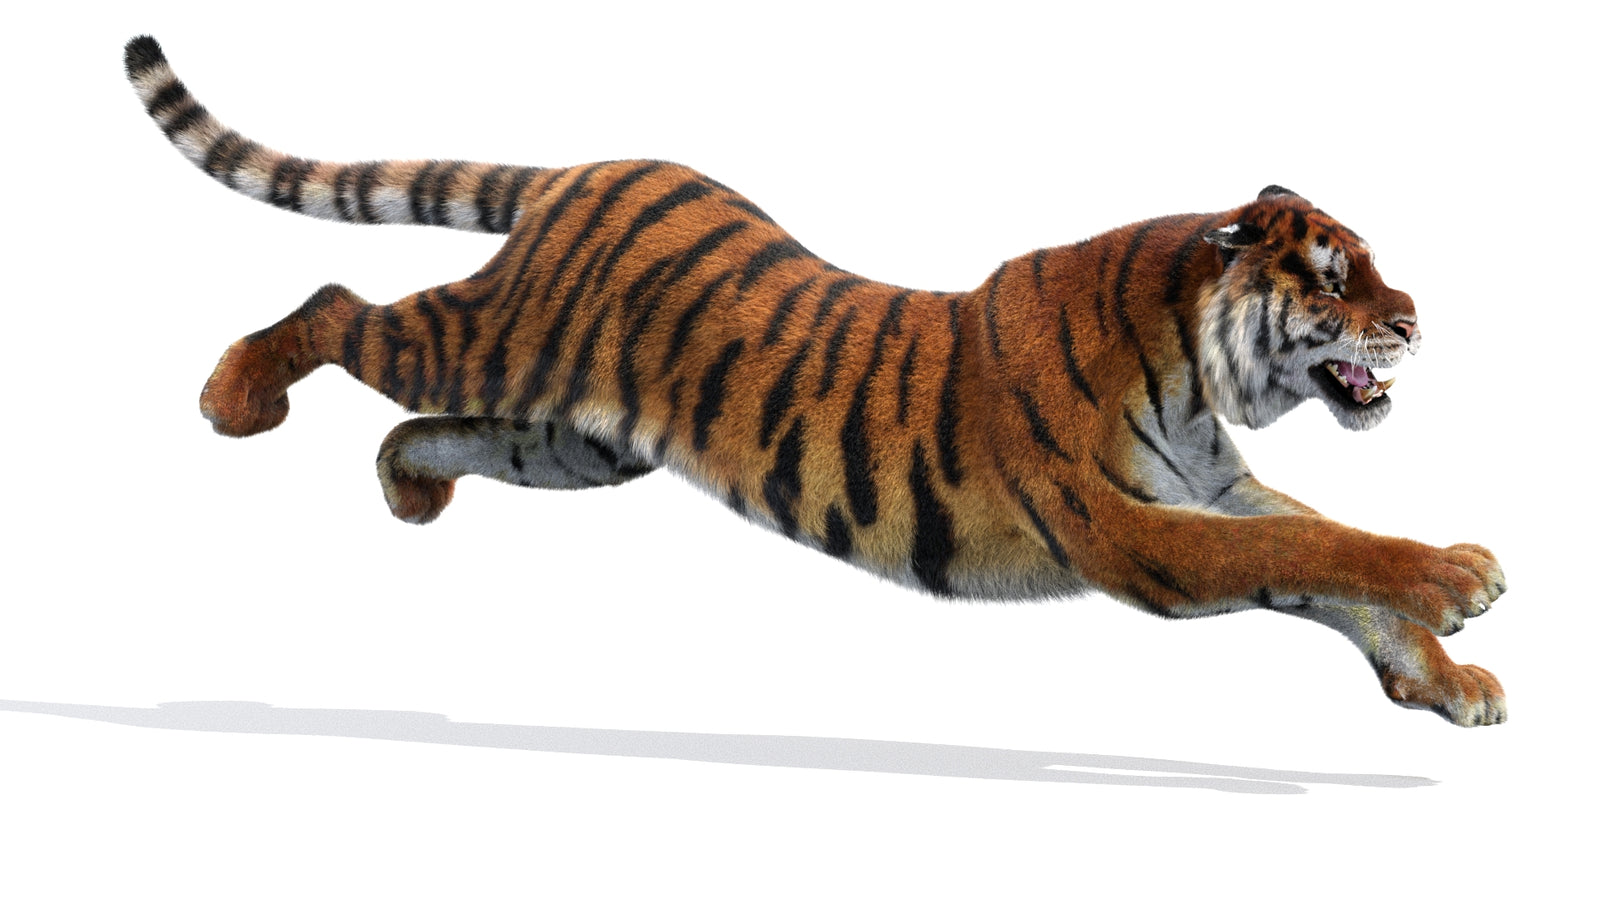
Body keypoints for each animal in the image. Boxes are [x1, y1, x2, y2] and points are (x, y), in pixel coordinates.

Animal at [124, 35, 1507, 726]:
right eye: (1331, 275)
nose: (1413, 319)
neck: (1182, 358)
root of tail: (585, 169)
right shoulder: (1132, 533)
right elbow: (1319, 551)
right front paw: (1457, 584)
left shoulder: (1208, 490)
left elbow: (1319, 549)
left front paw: (1443, 678)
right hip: (491, 336)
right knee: (342, 310)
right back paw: (233, 396)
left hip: (574, 443)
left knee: (435, 428)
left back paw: (404, 484)